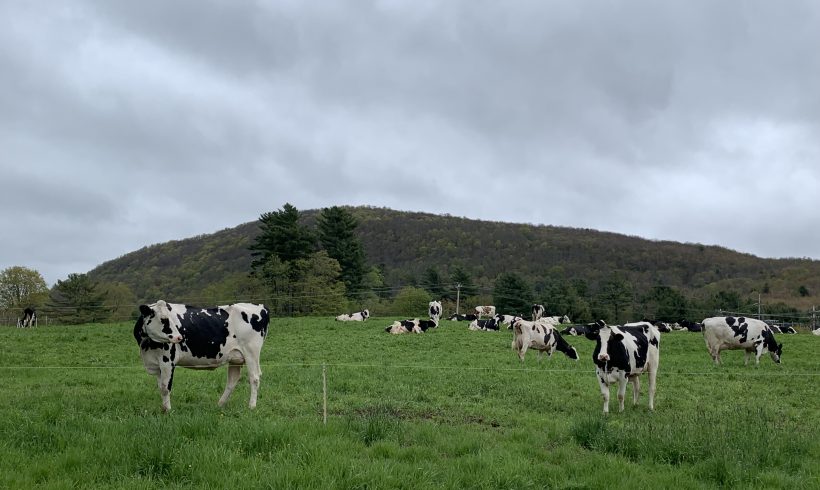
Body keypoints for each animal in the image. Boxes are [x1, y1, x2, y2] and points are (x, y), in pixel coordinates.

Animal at [133, 300, 270, 412]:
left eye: (170, 318)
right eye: (163, 319)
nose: (179, 337)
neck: (146, 347)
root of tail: (261, 306)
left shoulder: (167, 362)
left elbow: (165, 388)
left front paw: (167, 410)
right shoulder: (156, 364)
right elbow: (160, 387)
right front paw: (163, 408)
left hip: (251, 352)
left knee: (254, 377)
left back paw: (252, 406)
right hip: (236, 358)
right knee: (232, 380)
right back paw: (220, 404)